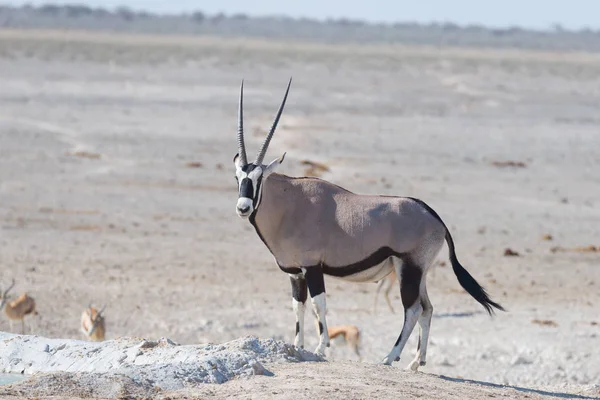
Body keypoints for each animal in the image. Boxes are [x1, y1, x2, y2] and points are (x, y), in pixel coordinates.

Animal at [232, 79, 504, 370]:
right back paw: (416, 362)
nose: (243, 207)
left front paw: (321, 348)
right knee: (427, 308)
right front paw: (298, 346)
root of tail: (434, 216)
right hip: (418, 272)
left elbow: (319, 305)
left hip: (409, 268)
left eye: (259, 177)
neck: (290, 202)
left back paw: (390, 357)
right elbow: (298, 306)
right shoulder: (295, 273)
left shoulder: (312, 267)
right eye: (238, 176)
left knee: (412, 309)